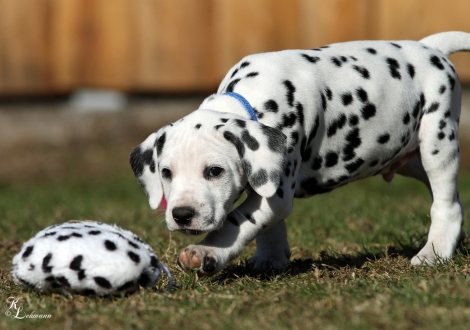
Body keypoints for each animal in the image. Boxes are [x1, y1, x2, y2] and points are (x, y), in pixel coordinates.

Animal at [130, 31, 470, 276]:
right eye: (166, 173)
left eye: (215, 171)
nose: (181, 215)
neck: (253, 100)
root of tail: (430, 48)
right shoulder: (267, 183)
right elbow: (266, 223)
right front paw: (270, 256)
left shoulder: (278, 192)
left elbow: (237, 221)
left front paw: (208, 252)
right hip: (411, 158)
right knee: (452, 199)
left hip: (437, 142)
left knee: (446, 204)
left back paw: (434, 251)